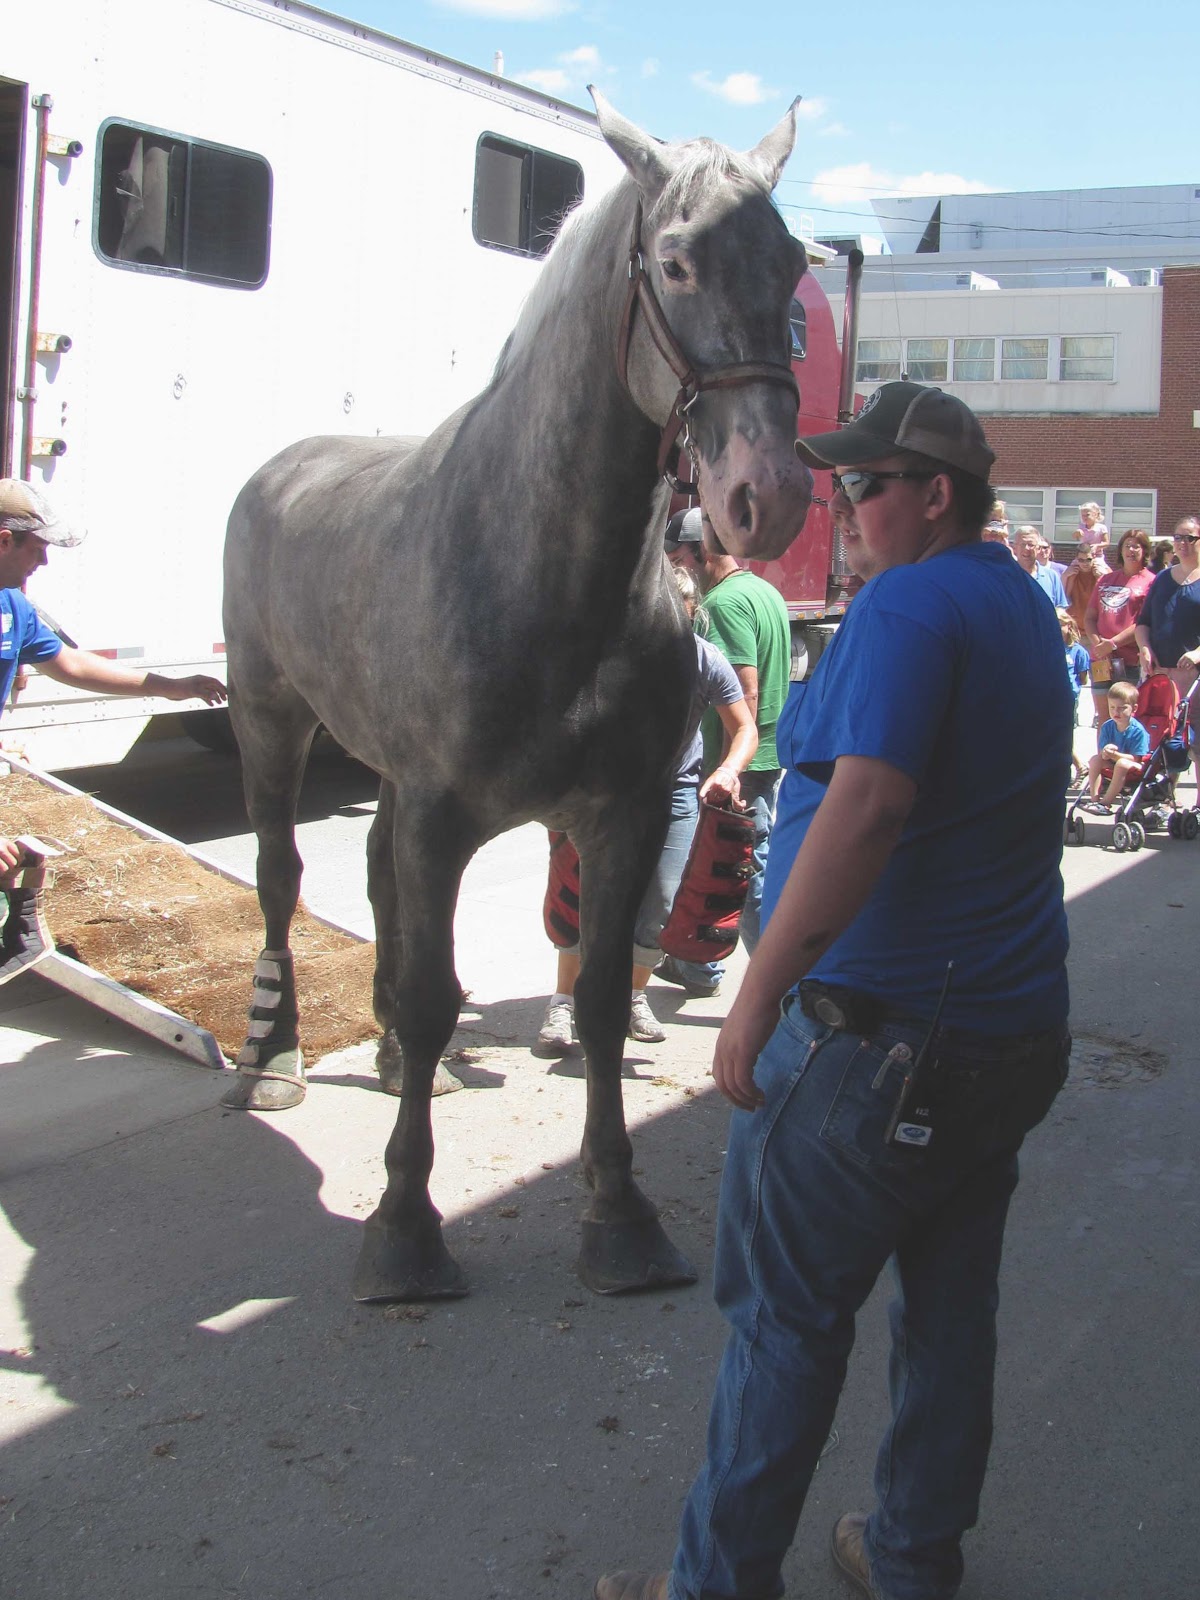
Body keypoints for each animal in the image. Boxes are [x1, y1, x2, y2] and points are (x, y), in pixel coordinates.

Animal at [220, 89, 814, 1303]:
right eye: (675, 261)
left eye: (789, 267)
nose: (766, 495)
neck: (540, 569)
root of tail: (279, 469)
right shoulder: (443, 816)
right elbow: (438, 992)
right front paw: (406, 1228)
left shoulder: (616, 815)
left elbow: (600, 998)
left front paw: (620, 1215)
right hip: (270, 723)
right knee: (280, 876)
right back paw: (274, 1057)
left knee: (371, 881)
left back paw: (391, 1059)